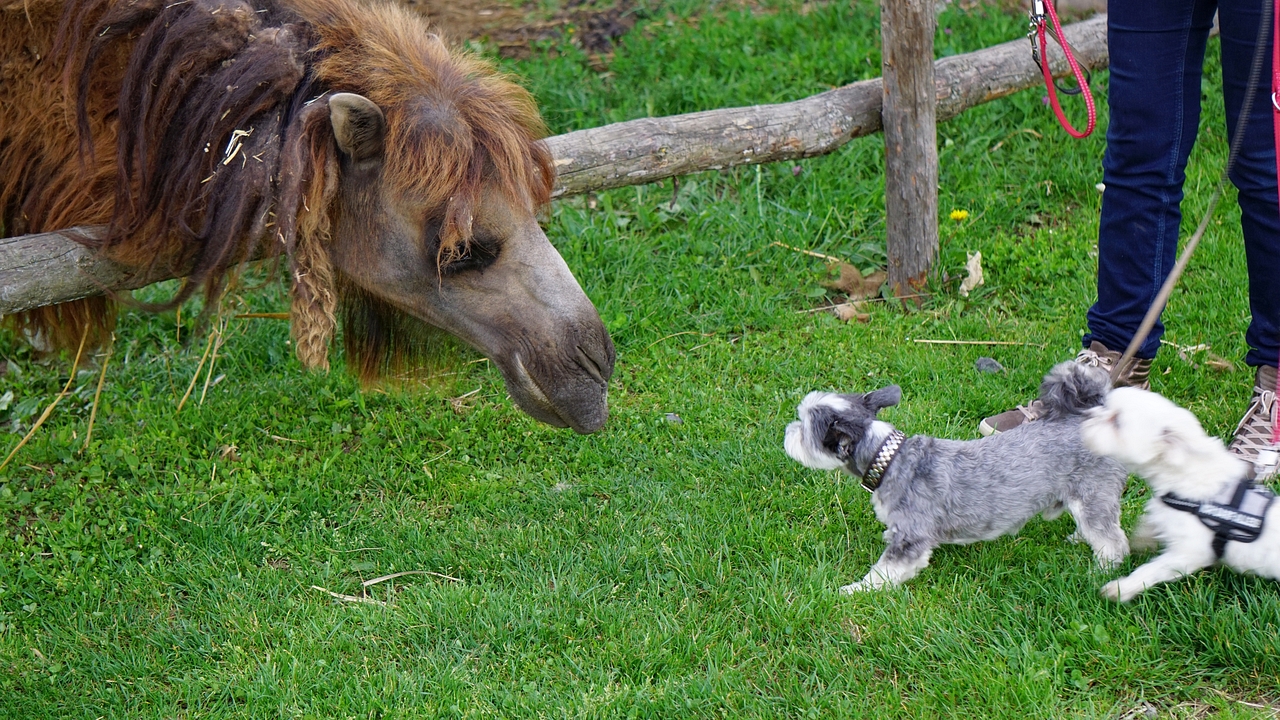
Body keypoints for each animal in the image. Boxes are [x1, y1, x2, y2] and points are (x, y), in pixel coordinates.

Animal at [784, 362, 1129, 593]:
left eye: (804, 429)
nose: (787, 431)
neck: (890, 458)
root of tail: (1094, 416)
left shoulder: (911, 538)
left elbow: (884, 571)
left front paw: (856, 590)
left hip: (1093, 496)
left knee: (1113, 541)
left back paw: (1101, 571)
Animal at [1081, 387, 1279, 602]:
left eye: (1117, 421)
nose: (1088, 414)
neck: (1186, 470)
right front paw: (1142, 541)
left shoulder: (1189, 551)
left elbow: (1151, 570)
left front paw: (1119, 589)